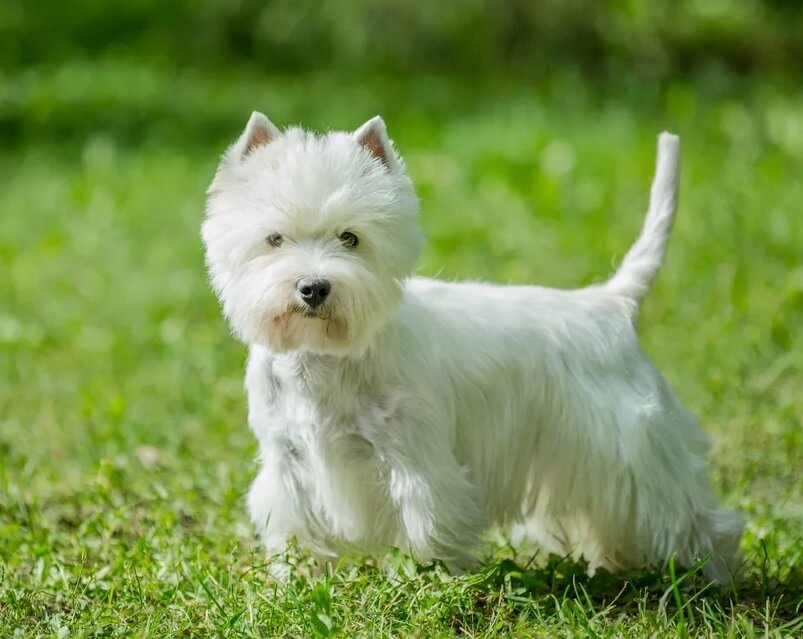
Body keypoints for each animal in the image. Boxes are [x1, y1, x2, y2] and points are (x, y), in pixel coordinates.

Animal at [203, 112, 748, 584]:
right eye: (274, 238)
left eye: (350, 238)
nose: (314, 288)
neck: (324, 361)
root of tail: (611, 302)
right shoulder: (289, 460)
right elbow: (295, 525)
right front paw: (293, 579)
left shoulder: (416, 460)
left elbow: (427, 521)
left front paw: (428, 578)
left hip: (633, 450)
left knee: (691, 515)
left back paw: (709, 576)